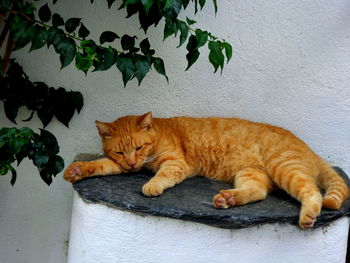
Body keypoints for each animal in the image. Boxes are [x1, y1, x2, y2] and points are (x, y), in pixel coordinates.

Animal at [64, 112, 348, 230]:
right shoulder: (122, 166)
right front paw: (78, 170)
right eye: (121, 152)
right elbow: (101, 164)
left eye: (139, 146)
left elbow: (162, 175)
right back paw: (228, 199)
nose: (133, 163)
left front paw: (152, 185)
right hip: (251, 173)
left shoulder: (175, 163)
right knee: (258, 192)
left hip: (284, 167)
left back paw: (308, 216)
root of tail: (311, 150)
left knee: (313, 192)